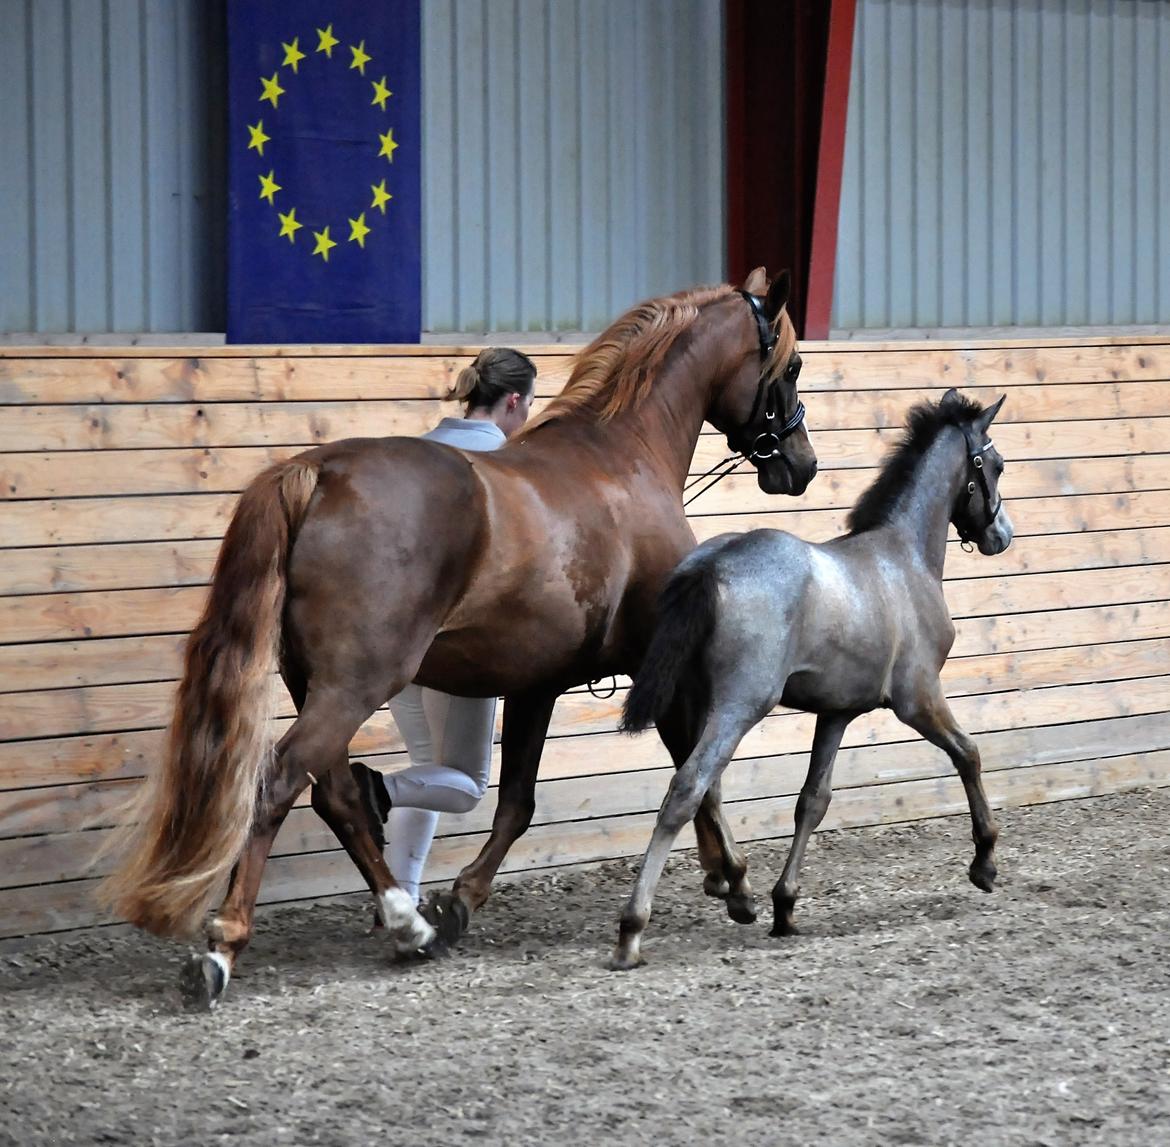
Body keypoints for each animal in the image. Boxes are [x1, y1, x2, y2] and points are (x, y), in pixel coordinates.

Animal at [98, 269, 814, 1001]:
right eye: (791, 366)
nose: (801, 463)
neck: (623, 458)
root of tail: (317, 473)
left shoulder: (536, 685)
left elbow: (519, 803)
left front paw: (459, 900)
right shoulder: (655, 662)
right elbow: (698, 773)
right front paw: (734, 880)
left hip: (320, 685)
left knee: (338, 794)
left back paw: (407, 921)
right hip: (354, 684)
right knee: (277, 784)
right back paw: (225, 944)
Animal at [617, 388, 1010, 969]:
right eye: (996, 464)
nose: (1000, 536)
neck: (903, 556)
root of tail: (710, 566)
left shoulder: (837, 713)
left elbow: (812, 801)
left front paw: (785, 906)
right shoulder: (917, 698)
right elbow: (969, 754)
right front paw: (984, 861)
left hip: (695, 707)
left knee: (706, 789)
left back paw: (738, 895)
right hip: (738, 706)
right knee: (686, 789)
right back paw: (632, 930)